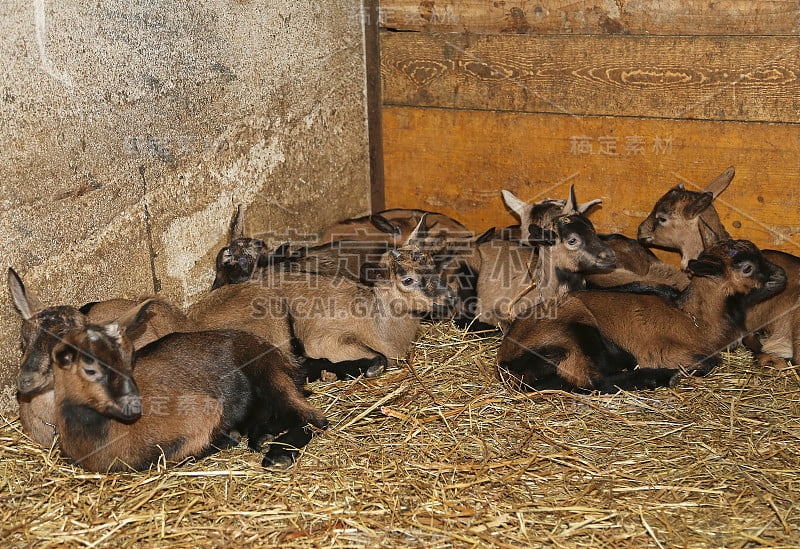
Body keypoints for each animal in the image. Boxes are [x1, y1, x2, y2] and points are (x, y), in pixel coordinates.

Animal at [496, 240, 784, 390]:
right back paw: (657, 376)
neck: (696, 318)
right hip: (574, 331)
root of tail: (506, 361)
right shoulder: (666, 350)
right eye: (747, 268)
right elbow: (710, 362)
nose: (782, 274)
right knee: (590, 382)